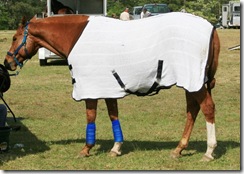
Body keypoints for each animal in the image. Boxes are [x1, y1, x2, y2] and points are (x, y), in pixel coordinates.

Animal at [3, 13, 221, 160]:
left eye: (14, 38)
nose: (7, 63)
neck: (75, 36)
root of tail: (211, 28)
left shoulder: (90, 87)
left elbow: (91, 116)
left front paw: (86, 149)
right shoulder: (107, 87)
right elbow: (113, 115)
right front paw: (116, 148)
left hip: (195, 83)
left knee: (207, 108)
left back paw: (209, 151)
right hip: (191, 83)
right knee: (192, 110)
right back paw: (178, 149)